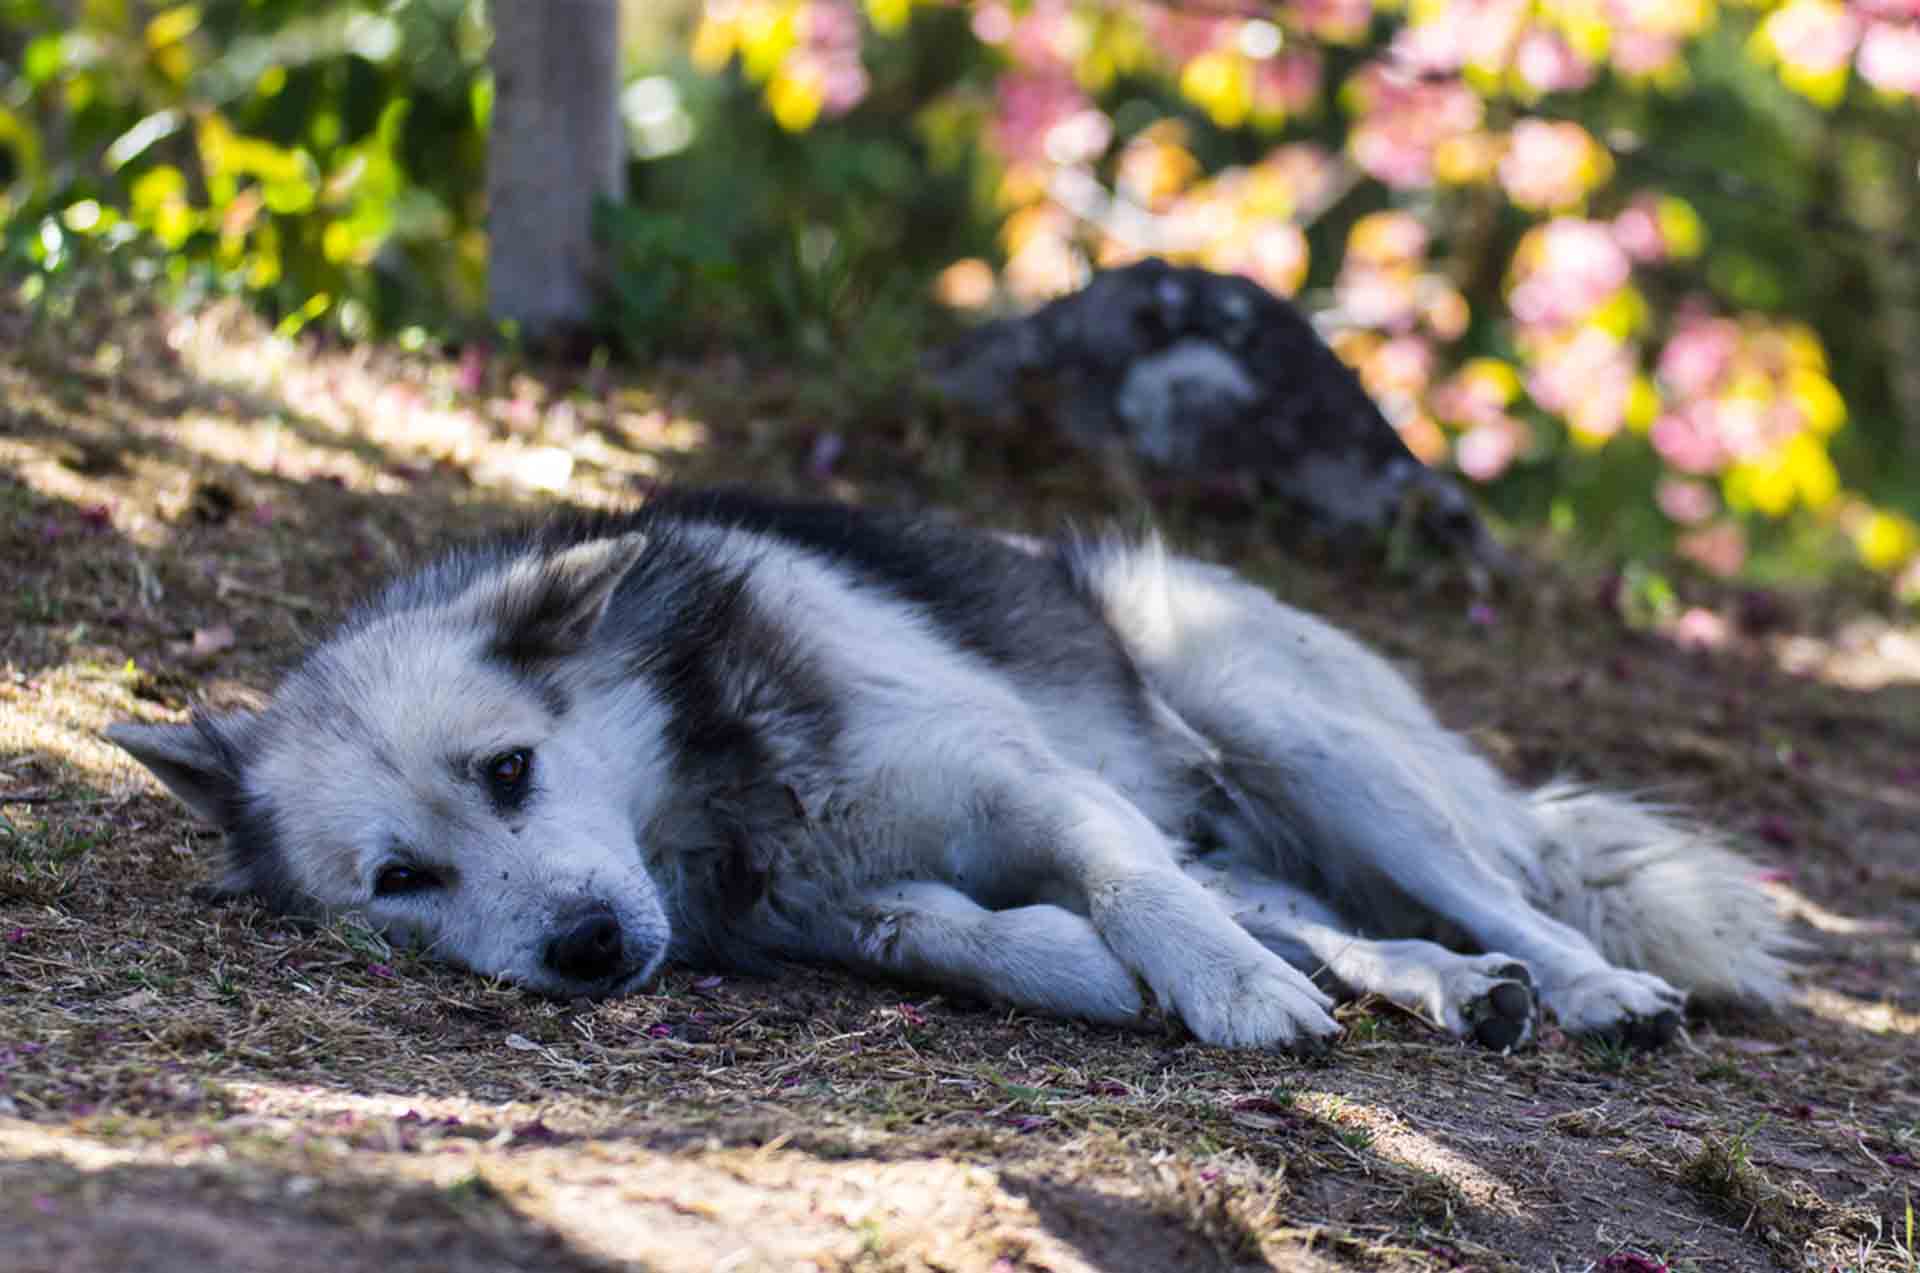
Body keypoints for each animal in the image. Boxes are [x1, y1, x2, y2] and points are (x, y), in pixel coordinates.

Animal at [105, 491, 1789, 1052]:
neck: (716, 785)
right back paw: (1450, 988)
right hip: (1258, 833)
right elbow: (962, 932)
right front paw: (1085, 969)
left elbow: (1129, 892)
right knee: (1337, 919)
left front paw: (1219, 995)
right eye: (401, 880)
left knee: (1516, 895)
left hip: (1292, 731)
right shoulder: (837, 904)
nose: (584, 950)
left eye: (511, 767)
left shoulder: (1031, 787)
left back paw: (1592, 989)